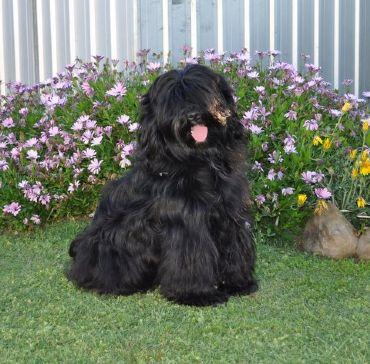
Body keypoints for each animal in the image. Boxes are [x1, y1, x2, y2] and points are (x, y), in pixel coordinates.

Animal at [67, 64, 258, 306]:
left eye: (203, 92)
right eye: (173, 100)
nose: (193, 115)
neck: (198, 159)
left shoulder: (229, 214)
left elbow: (233, 245)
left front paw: (237, 283)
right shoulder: (185, 221)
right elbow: (191, 256)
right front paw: (197, 294)